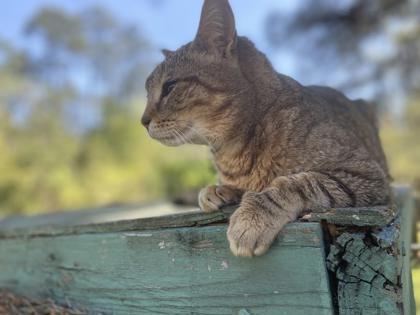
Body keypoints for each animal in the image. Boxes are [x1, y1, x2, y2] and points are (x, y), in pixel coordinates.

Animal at [141, 0, 390, 258]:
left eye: (169, 86)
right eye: (148, 93)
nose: (143, 120)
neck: (232, 152)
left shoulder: (364, 174)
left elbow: (298, 183)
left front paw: (253, 216)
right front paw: (219, 189)